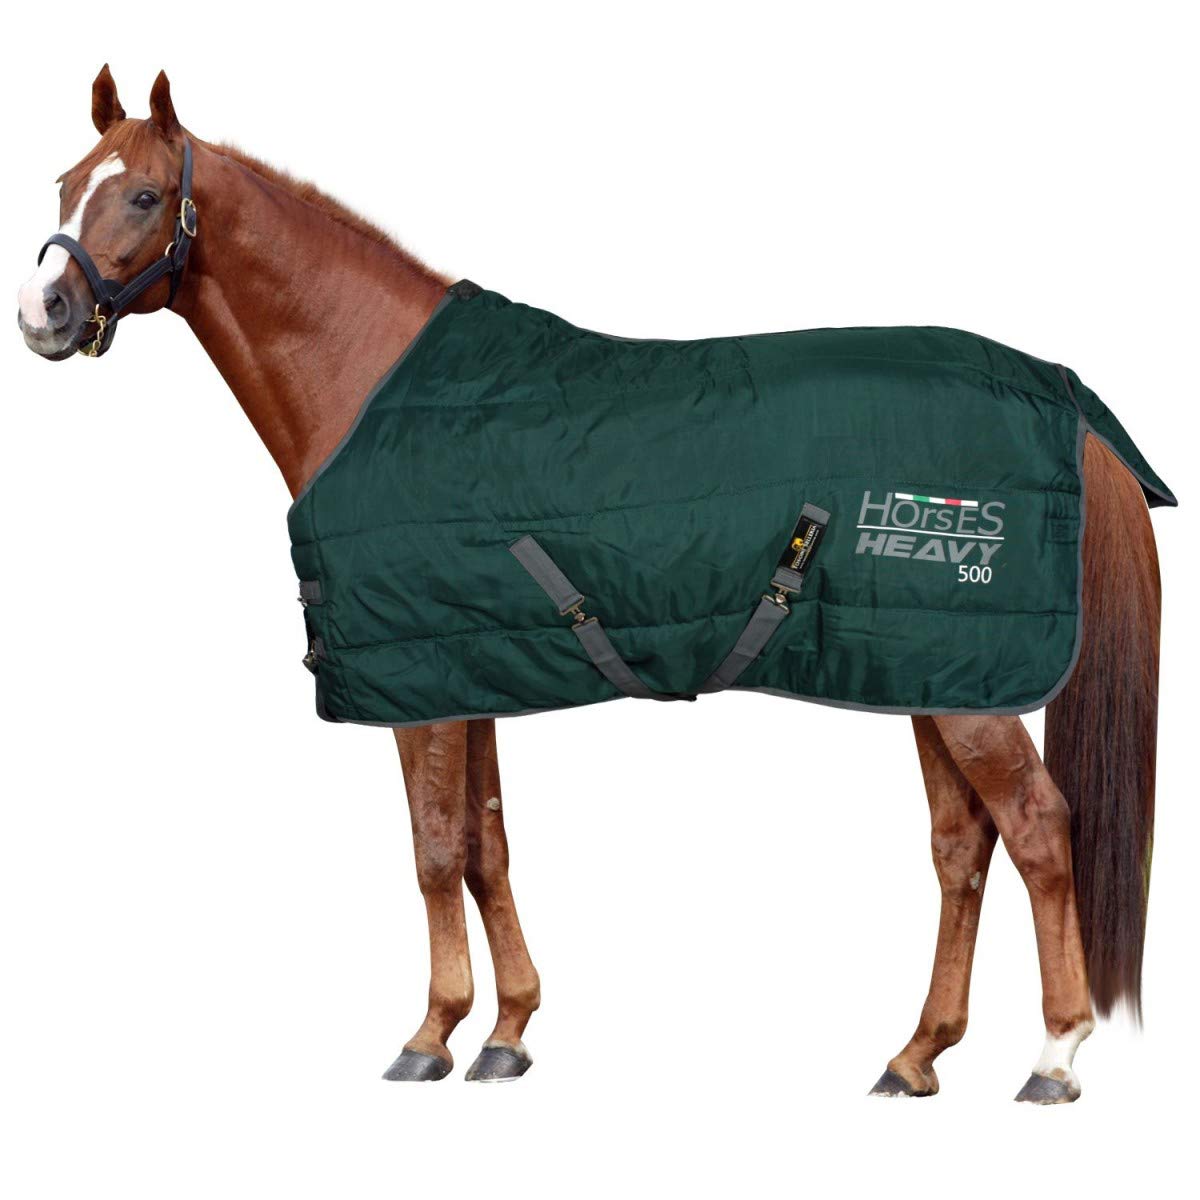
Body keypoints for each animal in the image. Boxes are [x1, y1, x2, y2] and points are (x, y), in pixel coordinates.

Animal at [16, 67, 1166, 1102]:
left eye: (143, 195)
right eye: (65, 181)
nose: (43, 312)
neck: (373, 383)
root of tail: (1061, 395)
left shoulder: (418, 687)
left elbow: (435, 849)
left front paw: (429, 1036)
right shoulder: (466, 670)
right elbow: (486, 846)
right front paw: (507, 1033)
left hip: (966, 688)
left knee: (1038, 830)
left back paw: (1055, 1057)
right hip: (932, 675)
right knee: (963, 847)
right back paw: (916, 1054)